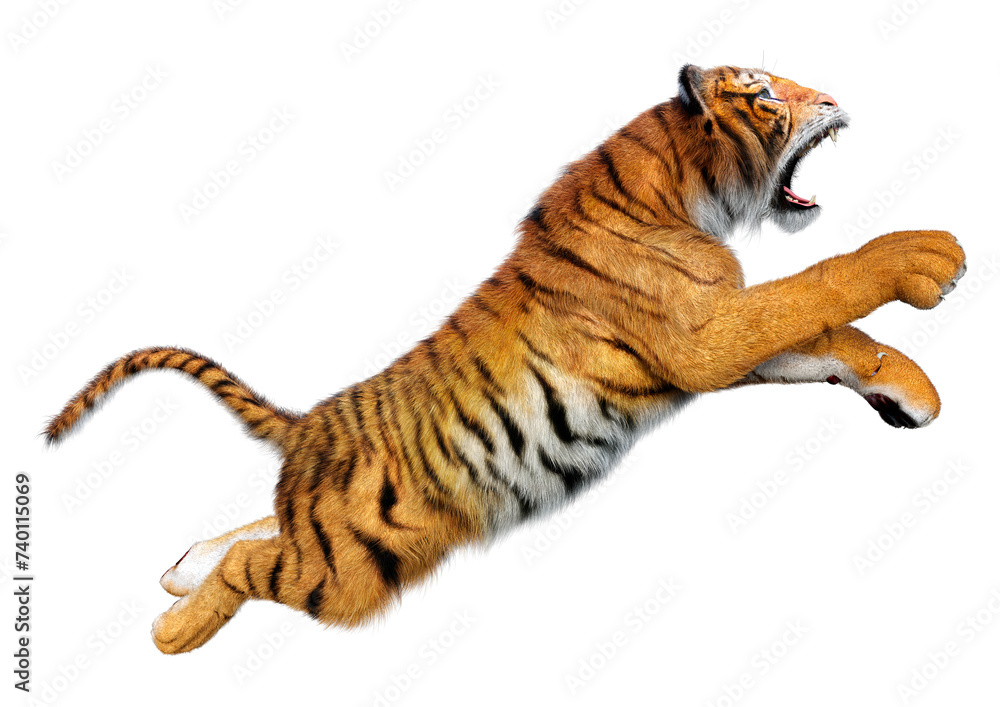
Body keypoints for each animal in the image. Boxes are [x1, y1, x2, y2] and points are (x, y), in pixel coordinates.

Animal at [45, 64, 966, 654]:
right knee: (255, 560)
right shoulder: (707, 337)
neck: (689, 192)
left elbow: (829, 338)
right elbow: (822, 283)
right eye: (768, 93)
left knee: (256, 530)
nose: (836, 99)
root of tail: (308, 427)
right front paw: (929, 254)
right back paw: (172, 630)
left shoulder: (704, 346)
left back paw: (179, 571)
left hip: (341, 534)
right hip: (353, 568)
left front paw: (911, 389)